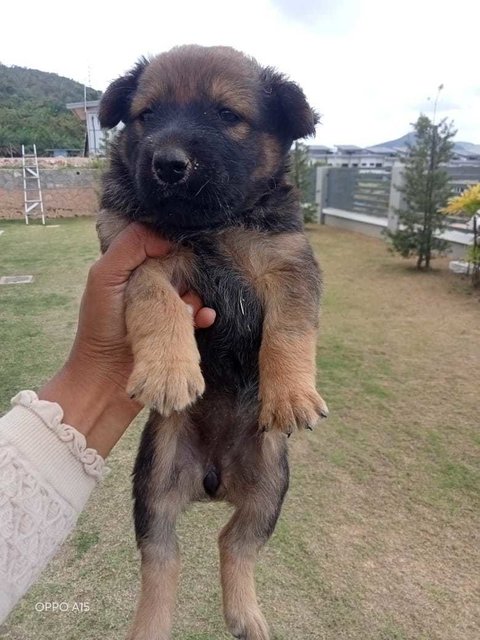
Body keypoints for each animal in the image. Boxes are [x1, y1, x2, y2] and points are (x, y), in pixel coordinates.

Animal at [97, 45, 330, 640]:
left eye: (228, 115)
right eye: (147, 115)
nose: (169, 163)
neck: (211, 225)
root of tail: (212, 480)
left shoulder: (289, 263)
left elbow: (290, 329)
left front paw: (292, 393)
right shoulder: (135, 256)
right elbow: (153, 297)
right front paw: (169, 370)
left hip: (271, 483)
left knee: (236, 542)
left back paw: (246, 614)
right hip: (156, 477)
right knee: (162, 555)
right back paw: (152, 625)